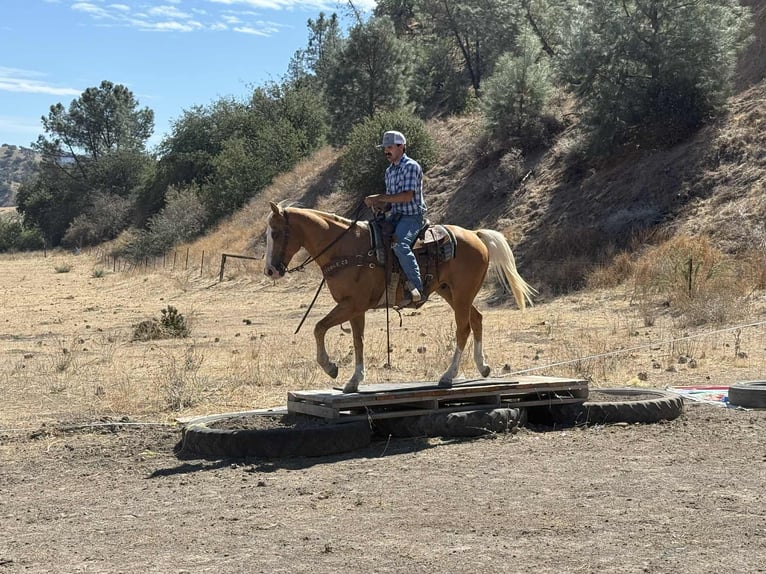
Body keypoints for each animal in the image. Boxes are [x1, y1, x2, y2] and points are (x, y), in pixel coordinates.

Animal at [264, 201, 536, 393]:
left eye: (275, 233)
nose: (270, 271)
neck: (346, 249)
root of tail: (475, 235)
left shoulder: (352, 304)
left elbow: (319, 328)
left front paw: (330, 368)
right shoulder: (354, 308)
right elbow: (357, 341)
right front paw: (354, 381)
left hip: (461, 294)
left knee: (463, 328)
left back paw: (448, 376)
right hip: (451, 292)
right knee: (477, 319)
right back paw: (483, 367)